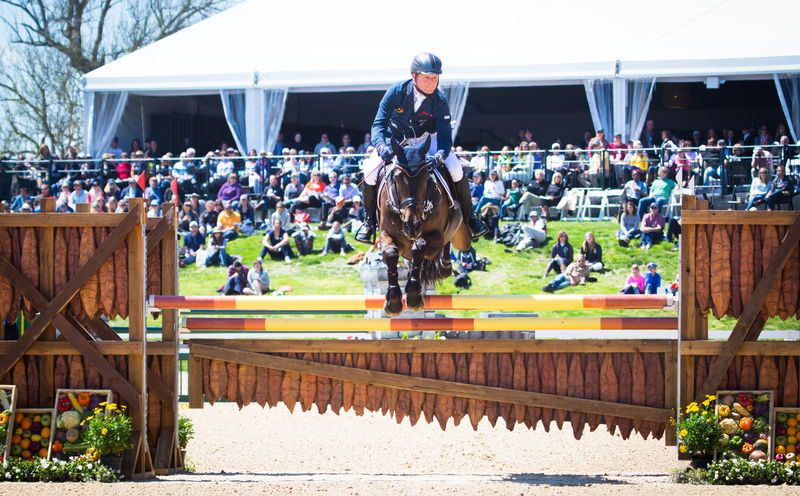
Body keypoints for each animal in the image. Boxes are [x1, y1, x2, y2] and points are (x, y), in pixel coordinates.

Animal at [378, 136, 472, 314]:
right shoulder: (385, 234)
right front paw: (393, 301)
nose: (411, 226)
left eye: (426, 177)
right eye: (397, 177)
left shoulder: (436, 237)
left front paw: (414, 296)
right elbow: (391, 253)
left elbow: (419, 248)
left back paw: (444, 267)